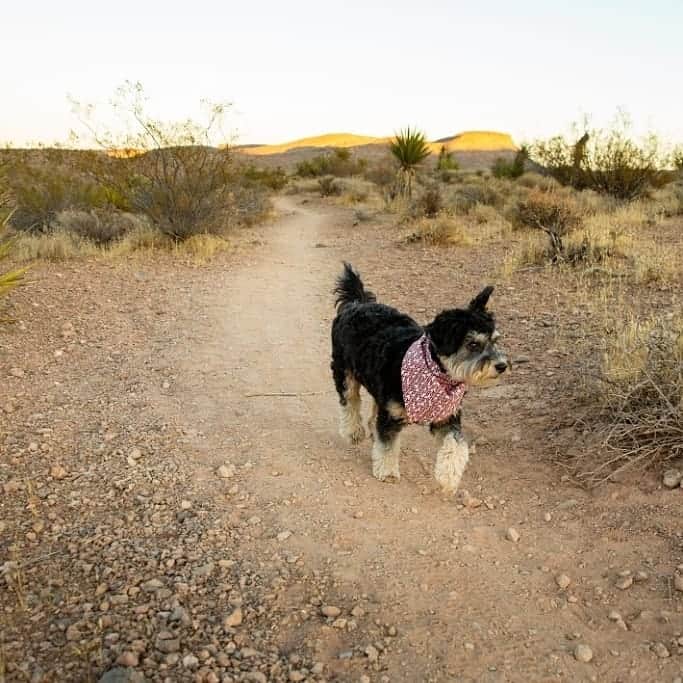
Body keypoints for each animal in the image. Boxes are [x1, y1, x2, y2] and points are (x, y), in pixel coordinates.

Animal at [332, 260, 508, 492]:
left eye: (495, 341)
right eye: (472, 344)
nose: (502, 365)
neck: (435, 372)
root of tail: (357, 303)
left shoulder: (447, 417)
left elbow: (456, 445)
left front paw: (449, 477)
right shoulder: (391, 414)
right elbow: (388, 445)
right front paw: (387, 471)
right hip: (344, 372)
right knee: (349, 401)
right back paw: (353, 431)